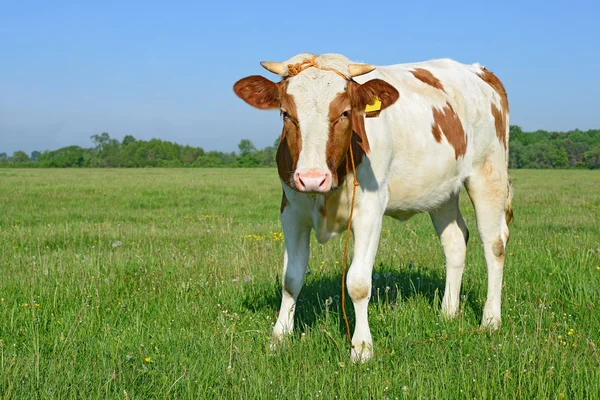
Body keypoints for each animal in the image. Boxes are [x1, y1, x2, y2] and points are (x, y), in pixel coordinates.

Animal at [233, 53, 510, 362]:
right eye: (286, 114)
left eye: (344, 113)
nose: (313, 178)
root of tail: (479, 71)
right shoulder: (291, 212)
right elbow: (290, 278)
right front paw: (279, 338)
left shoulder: (369, 212)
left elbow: (358, 283)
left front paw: (362, 348)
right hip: (442, 191)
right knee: (455, 242)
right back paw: (448, 312)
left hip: (488, 173)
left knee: (494, 244)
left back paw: (490, 320)